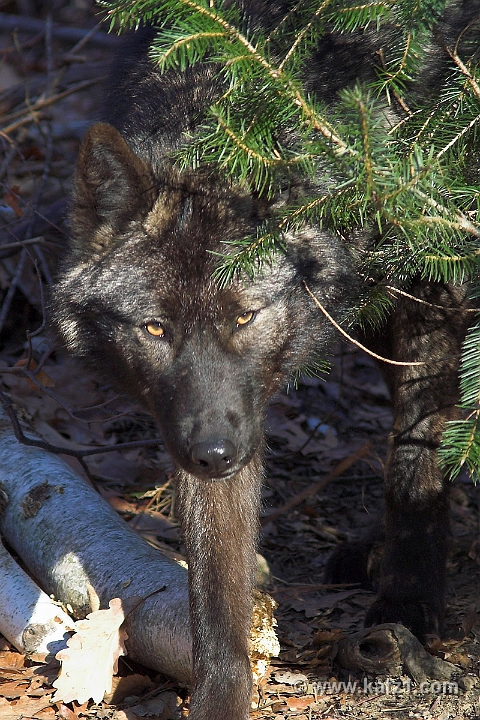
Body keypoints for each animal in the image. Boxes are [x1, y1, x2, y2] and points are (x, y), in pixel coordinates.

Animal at [51, 3, 477, 719]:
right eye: (156, 329)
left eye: (244, 317)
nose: (214, 455)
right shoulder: (211, 421)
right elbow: (217, 603)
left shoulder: (434, 291)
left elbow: (416, 469)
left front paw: (409, 610)